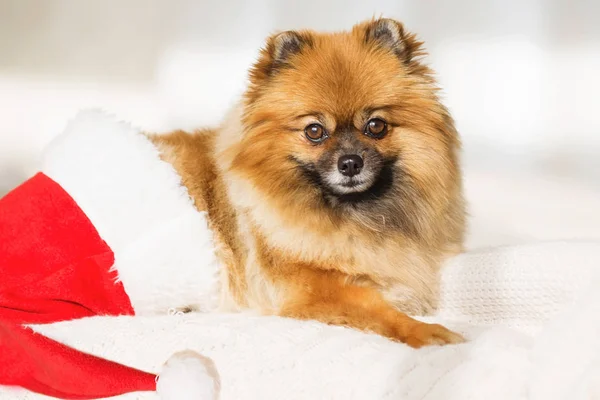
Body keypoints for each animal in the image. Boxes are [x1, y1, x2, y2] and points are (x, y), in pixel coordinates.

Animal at [151, 18, 468, 346]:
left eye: (376, 126)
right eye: (314, 131)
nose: (350, 163)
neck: (353, 217)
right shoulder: (312, 287)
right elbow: (380, 309)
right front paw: (425, 331)